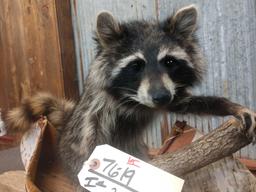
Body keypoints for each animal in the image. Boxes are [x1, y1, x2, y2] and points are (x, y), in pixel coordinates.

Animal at [5, 4, 256, 190]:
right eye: (136, 65)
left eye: (170, 62)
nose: (161, 97)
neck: (135, 98)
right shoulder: (101, 105)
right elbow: (91, 133)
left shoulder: (169, 92)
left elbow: (184, 103)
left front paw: (230, 106)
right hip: (71, 143)